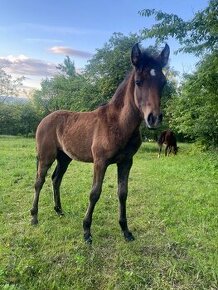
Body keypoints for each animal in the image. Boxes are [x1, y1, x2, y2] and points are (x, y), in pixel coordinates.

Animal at [30, 42, 170, 242]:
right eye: (138, 81)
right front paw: (87, 231)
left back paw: (59, 211)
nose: (154, 119)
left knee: (56, 179)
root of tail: (45, 119)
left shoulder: (126, 162)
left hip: (64, 158)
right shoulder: (100, 162)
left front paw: (126, 231)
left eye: (163, 82)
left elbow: (123, 193)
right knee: (39, 182)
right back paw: (34, 217)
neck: (118, 123)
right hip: (46, 157)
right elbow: (94, 193)